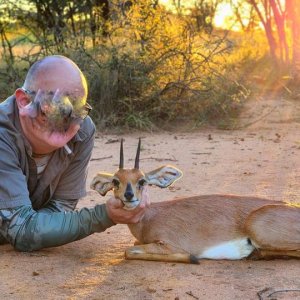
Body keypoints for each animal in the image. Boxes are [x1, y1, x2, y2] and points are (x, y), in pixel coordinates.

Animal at [90, 138, 300, 262]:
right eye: (116, 181)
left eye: (142, 180)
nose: (129, 195)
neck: (149, 219)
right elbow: (132, 246)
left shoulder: (168, 244)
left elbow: (129, 251)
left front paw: (192, 257)